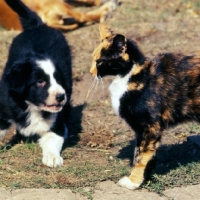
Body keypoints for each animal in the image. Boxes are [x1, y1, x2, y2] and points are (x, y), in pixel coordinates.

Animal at [0, 0, 72, 167]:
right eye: (40, 82)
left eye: (58, 79)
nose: (61, 96)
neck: (31, 106)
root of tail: (38, 26)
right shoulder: (4, 107)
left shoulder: (56, 121)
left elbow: (53, 137)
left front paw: (52, 157)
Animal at [90, 24, 200, 190]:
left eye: (100, 62)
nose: (91, 72)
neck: (132, 76)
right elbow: (146, 154)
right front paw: (147, 177)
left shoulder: (149, 126)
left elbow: (141, 156)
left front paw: (133, 181)